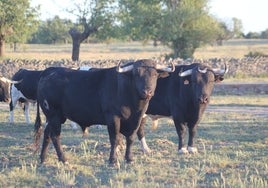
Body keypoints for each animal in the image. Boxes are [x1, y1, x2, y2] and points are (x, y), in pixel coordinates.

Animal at [33, 59, 175, 165]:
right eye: (136, 74)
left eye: (154, 74)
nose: (147, 92)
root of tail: (49, 71)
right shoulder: (113, 118)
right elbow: (115, 139)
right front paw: (113, 160)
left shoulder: (136, 119)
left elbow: (130, 138)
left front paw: (129, 159)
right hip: (54, 115)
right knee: (55, 136)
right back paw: (63, 159)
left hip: (53, 117)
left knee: (47, 134)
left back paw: (43, 159)